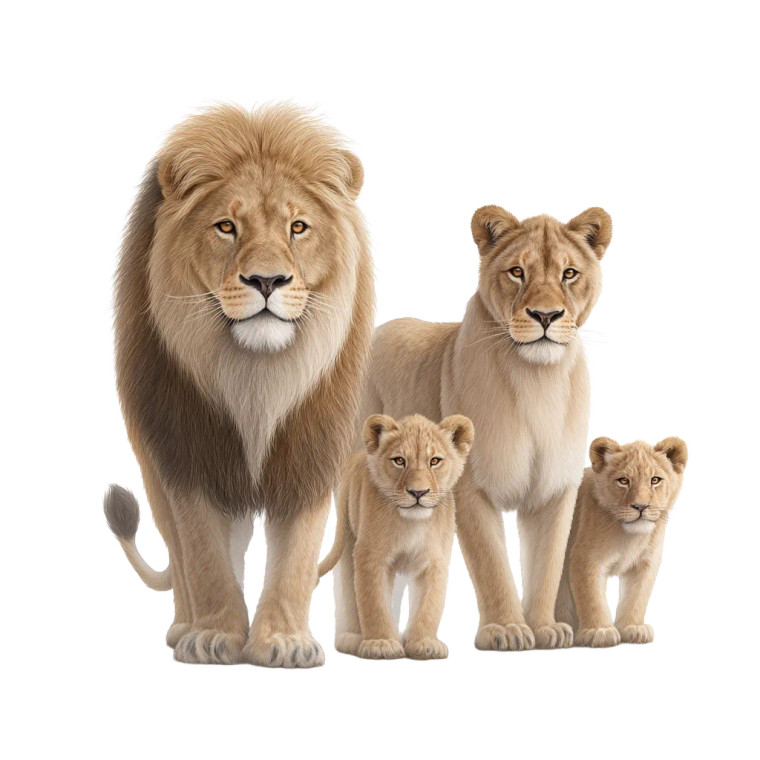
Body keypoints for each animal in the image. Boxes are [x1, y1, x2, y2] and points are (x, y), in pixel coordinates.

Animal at [103, 104, 374, 667]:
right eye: (227, 226)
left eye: (298, 227)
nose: (266, 281)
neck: (256, 377)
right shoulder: (188, 454)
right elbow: (204, 554)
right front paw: (214, 636)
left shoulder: (309, 455)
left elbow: (295, 556)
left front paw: (283, 641)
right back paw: (184, 625)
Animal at [317, 413, 474, 659]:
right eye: (399, 461)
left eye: (435, 461)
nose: (418, 492)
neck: (412, 524)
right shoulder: (370, 557)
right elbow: (374, 602)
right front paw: (381, 643)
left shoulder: (435, 561)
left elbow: (429, 605)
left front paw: (424, 643)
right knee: (349, 592)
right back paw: (352, 637)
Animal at [360, 206, 612, 650]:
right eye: (517, 272)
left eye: (569, 273)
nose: (545, 316)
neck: (537, 381)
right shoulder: (471, 487)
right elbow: (492, 565)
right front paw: (507, 629)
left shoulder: (554, 490)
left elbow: (547, 565)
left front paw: (545, 627)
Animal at [555, 436, 688, 647]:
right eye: (623, 481)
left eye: (655, 480)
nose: (640, 506)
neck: (630, 537)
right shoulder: (584, 559)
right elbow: (591, 597)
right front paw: (600, 631)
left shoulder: (645, 564)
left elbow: (636, 598)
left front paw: (632, 628)